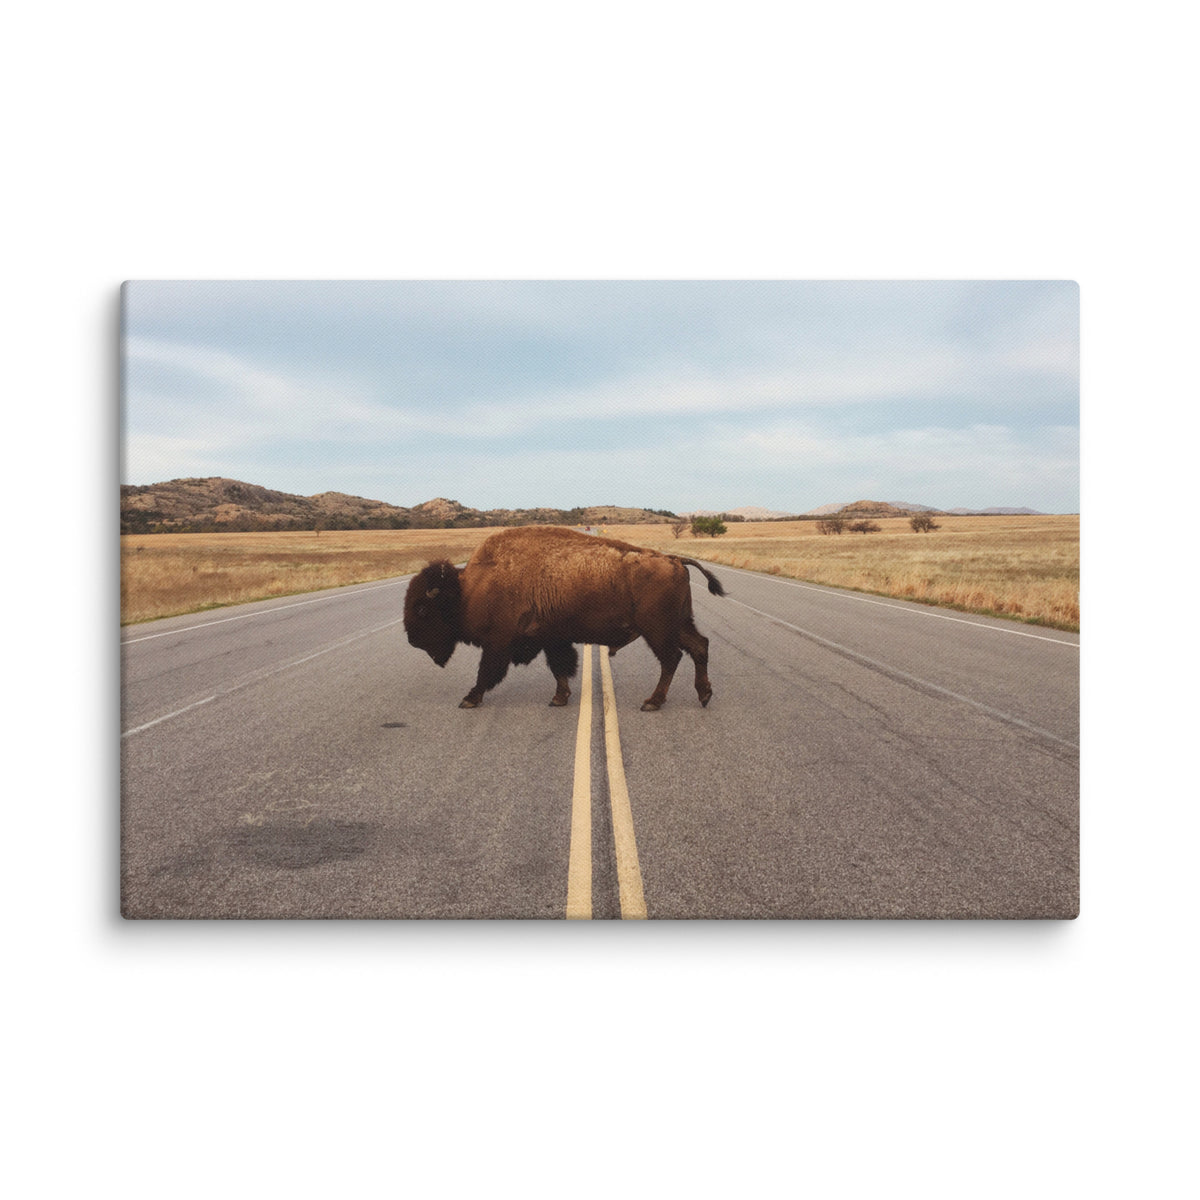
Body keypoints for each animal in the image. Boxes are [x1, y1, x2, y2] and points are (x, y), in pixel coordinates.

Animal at [403, 526, 725, 711]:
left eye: (422, 609)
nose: (412, 640)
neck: (469, 588)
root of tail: (674, 559)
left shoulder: (498, 643)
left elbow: (486, 672)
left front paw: (469, 699)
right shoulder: (551, 639)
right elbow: (559, 668)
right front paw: (559, 698)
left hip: (657, 630)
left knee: (672, 658)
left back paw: (652, 702)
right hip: (678, 624)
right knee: (699, 646)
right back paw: (704, 695)